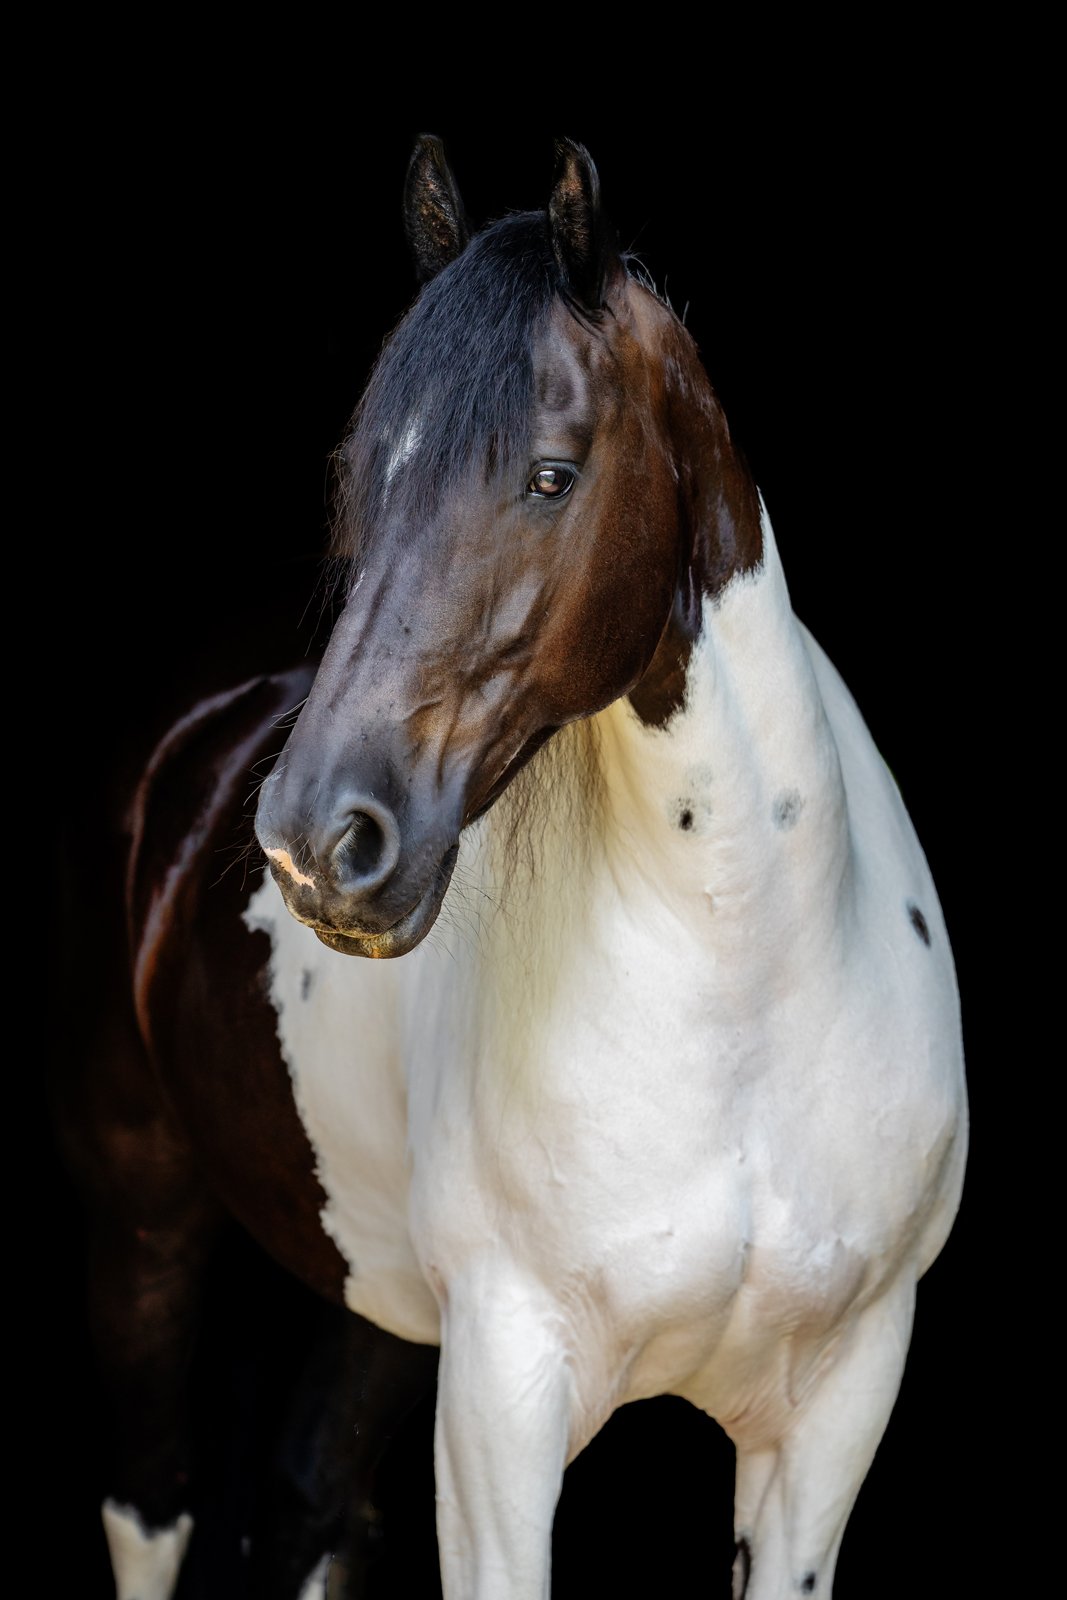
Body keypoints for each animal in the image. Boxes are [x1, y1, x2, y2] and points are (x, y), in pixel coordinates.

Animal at [54, 134, 968, 1598]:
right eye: (358, 473)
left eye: (550, 473)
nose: (316, 843)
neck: (746, 982)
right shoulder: (502, 1406)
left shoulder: (830, 1420)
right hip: (142, 1229)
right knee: (152, 1509)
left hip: (370, 1289)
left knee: (309, 1502)